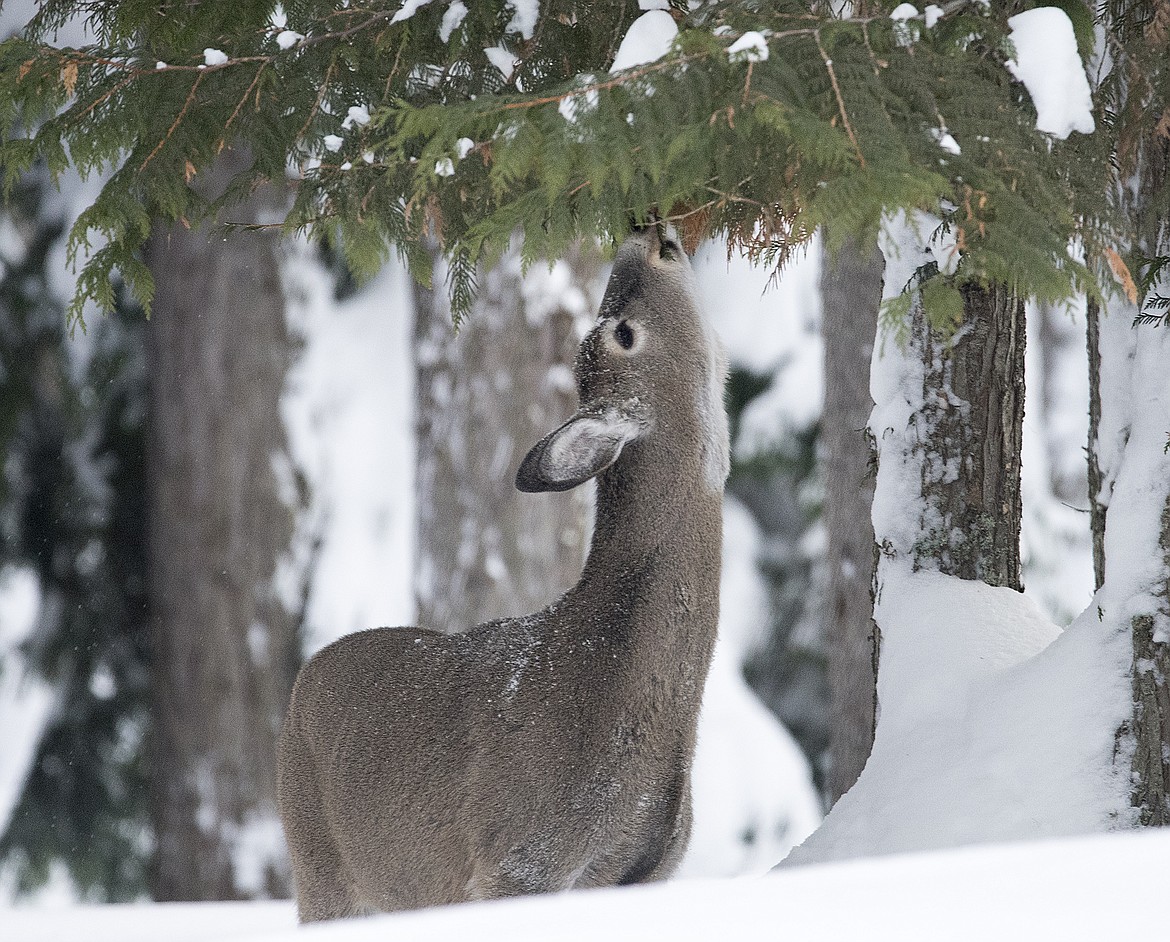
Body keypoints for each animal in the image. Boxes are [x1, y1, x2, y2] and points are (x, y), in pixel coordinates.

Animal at [277, 222, 725, 917]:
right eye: (622, 333)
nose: (647, 232)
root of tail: (302, 683)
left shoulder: (648, 873)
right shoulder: (517, 858)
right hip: (321, 867)